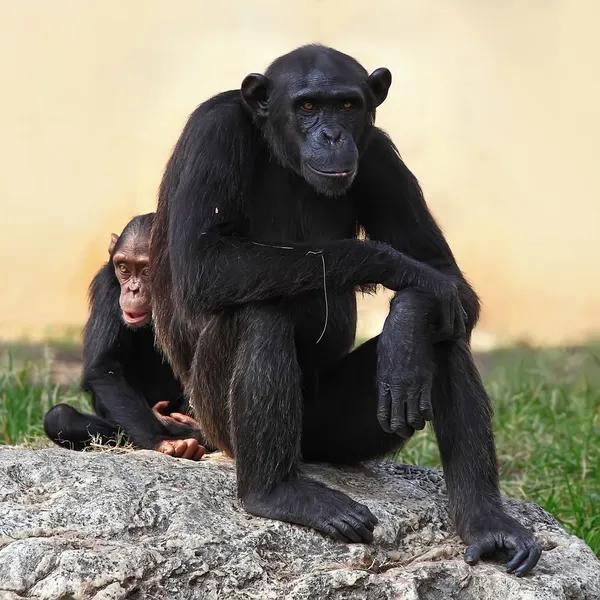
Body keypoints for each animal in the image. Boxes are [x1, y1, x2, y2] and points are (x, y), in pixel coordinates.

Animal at [43, 213, 205, 462]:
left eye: (147, 270)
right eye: (124, 268)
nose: (133, 290)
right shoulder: (107, 287)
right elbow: (105, 368)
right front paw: (163, 441)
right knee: (60, 417)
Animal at [149, 44, 540, 576]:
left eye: (348, 106)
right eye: (309, 106)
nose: (332, 135)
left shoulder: (382, 158)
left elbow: (448, 279)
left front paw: (406, 325)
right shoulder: (213, 133)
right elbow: (204, 262)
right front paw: (401, 269)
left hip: (334, 437)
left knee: (445, 334)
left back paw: (487, 523)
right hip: (215, 421)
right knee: (259, 314)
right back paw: (276, 493)